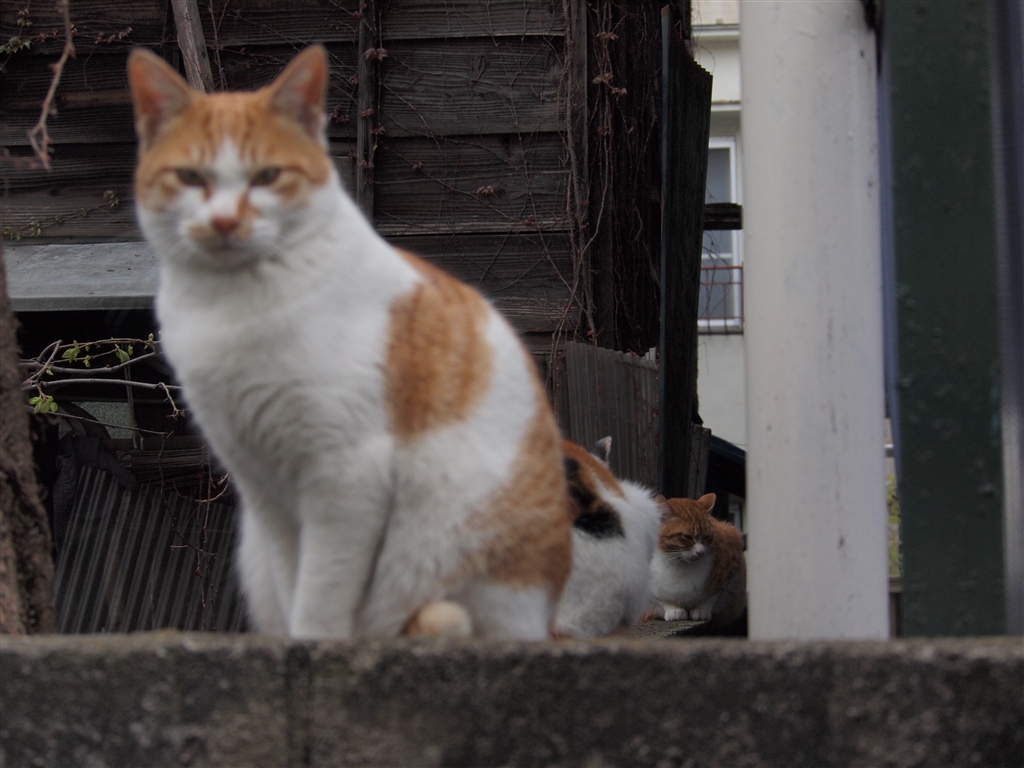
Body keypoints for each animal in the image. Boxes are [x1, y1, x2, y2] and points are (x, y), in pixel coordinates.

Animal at [127, 45, 574, 640]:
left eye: (267, 176)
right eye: (190, 177)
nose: (224, 221)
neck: (235, 306)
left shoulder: (345, 477)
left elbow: (320, 595)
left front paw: (314, 646)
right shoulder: (265, 490)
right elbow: (294, 584)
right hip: (254, 553)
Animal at [648, 493, 746, 626]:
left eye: (707, 537)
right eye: (687, 537)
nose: (701, 552)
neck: (678, 565)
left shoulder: (731, 566)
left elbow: (712, 595)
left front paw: (701, 610)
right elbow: (659, 599)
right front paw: (674, 610)